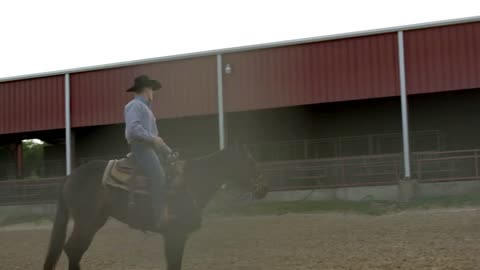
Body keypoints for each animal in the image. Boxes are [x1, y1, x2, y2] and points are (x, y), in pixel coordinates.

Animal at [42, 146, 266, 270]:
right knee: (73, 250)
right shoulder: (175, 234)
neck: (191, 182)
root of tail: (70, 176)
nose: (263, 190)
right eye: (250, 162)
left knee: (74, 250)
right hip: (86, 224)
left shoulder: (175, 236)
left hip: (95, 221)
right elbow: (174, 265)